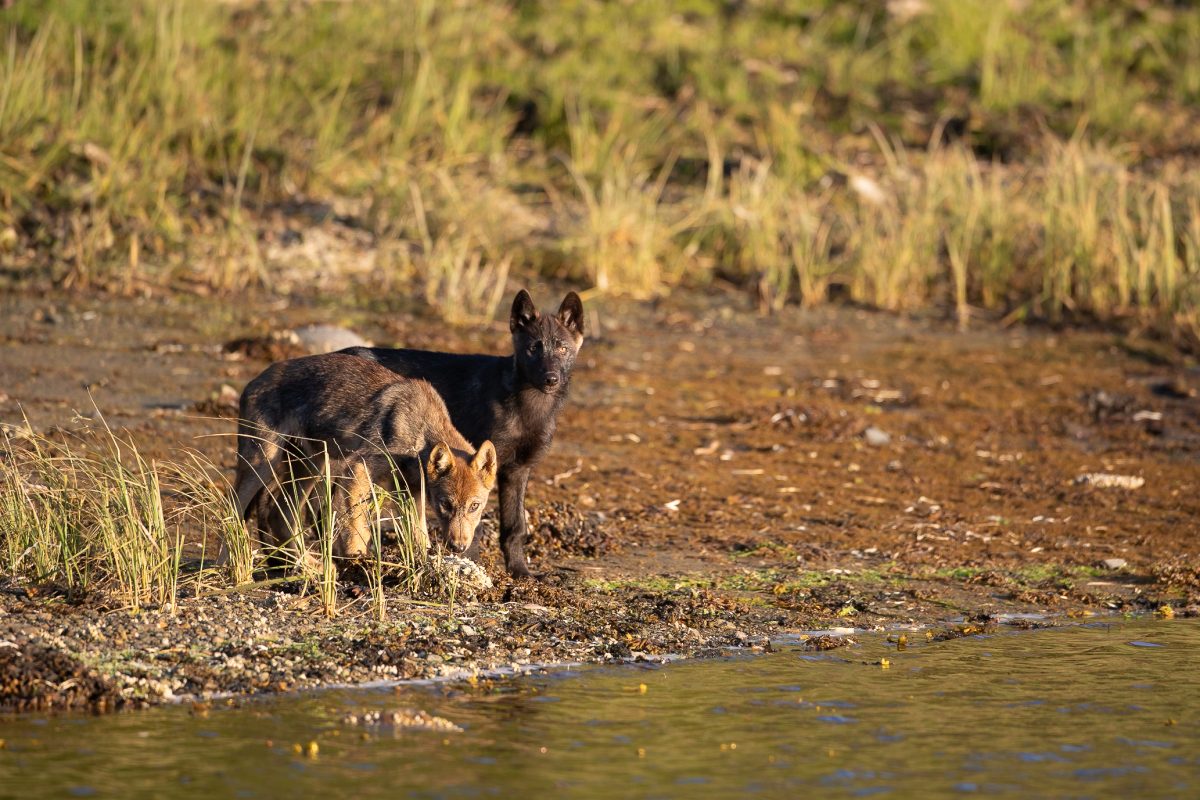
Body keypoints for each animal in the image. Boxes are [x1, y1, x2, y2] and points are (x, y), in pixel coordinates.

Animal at [232, 353, 497, 562]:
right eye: (446, 504)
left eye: (474, 506)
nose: (458, 547)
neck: (418, 431)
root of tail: (254, 380)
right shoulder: (357, 470)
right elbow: (356, 525)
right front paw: (357, 560)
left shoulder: (412, 493)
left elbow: (419, 538)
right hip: (262, 466)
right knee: (235, 511)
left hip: (312, 467)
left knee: (281, 518)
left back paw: (310, 569)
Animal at [342, 289, 584, 577]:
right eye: (533, 348)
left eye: (562, 348)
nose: (550, 378)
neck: (528, 408)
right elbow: (474, 527)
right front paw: (470, 565)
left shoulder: (517, 470)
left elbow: (515, 527)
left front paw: (520, 572)